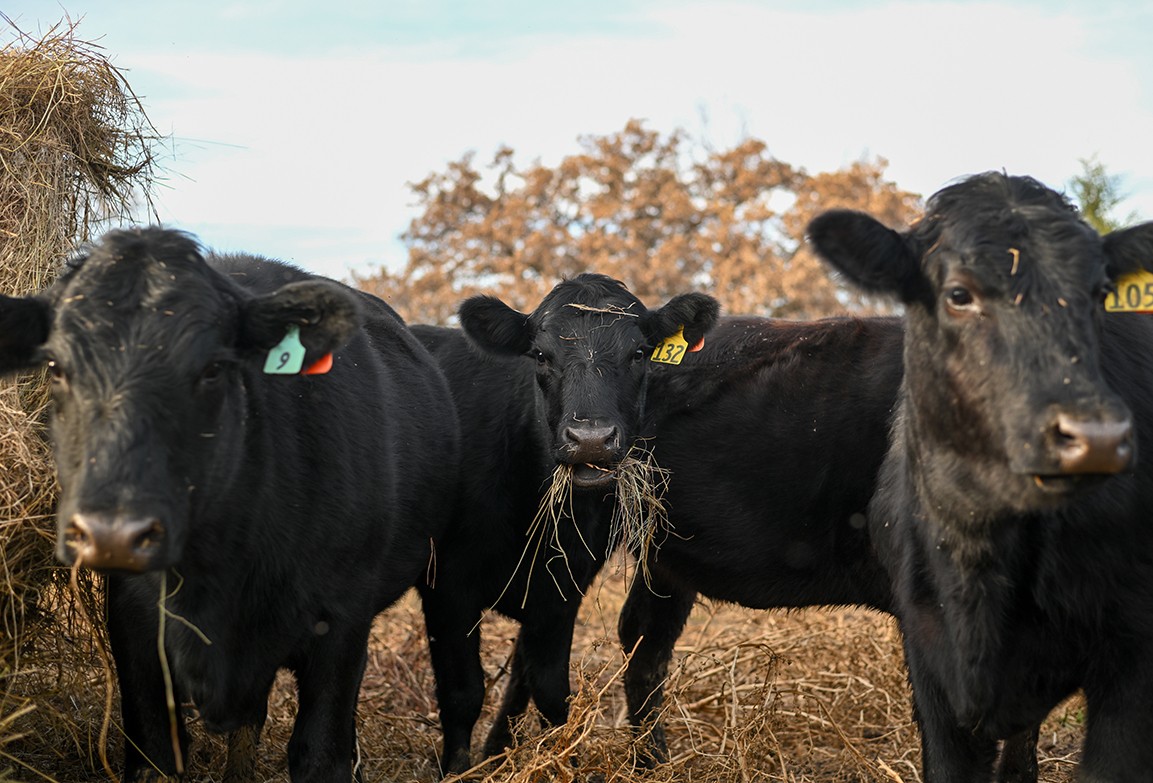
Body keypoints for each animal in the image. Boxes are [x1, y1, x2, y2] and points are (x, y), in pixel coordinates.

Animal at [0, 227, 459, 782]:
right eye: (55, 367)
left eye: (214, 368)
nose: (112, 534)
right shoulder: (135, 625)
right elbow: (155, 755)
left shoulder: (343, 620)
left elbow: (319, 753)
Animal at [410, 273, 718, 775]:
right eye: (540, 355)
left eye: (639, 353)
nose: (590, 440)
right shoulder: (447, 587)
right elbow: (462, 694)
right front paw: (457, 771)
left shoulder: (562, 587)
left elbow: (552, 691)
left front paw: (559, 762)